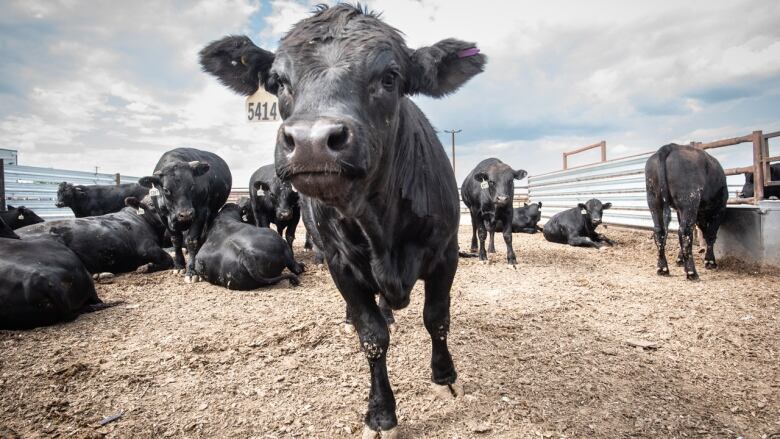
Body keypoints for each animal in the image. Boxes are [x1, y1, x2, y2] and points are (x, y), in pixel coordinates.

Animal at [139, 148, 232, 284]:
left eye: (192, 185)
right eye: (166, 189)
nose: (186, 214)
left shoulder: (200, 213)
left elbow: (191, 240)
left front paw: (192, 271)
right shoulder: (163, 217)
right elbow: (176, 240)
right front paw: (179, 266)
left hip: (213, 211)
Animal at [200, 4, 488, 436]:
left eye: (390, 77)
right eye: (278, 81)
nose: (312, 141)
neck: (379, 226)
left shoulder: (445, 254)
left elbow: (436, 319)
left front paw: (445, 380)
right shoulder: (341, 265)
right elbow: (373, 338)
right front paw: (382, 414)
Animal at [644, 144, 728, 282]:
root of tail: (669, 147)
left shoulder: (680, 211)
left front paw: (680, 260)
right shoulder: (719, 208)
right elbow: (710, 235)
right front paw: (710, 261)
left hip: (653, 199)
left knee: (660, 231)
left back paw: (663, 268)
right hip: (689, 199)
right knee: (685, 231)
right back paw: (691, 272)